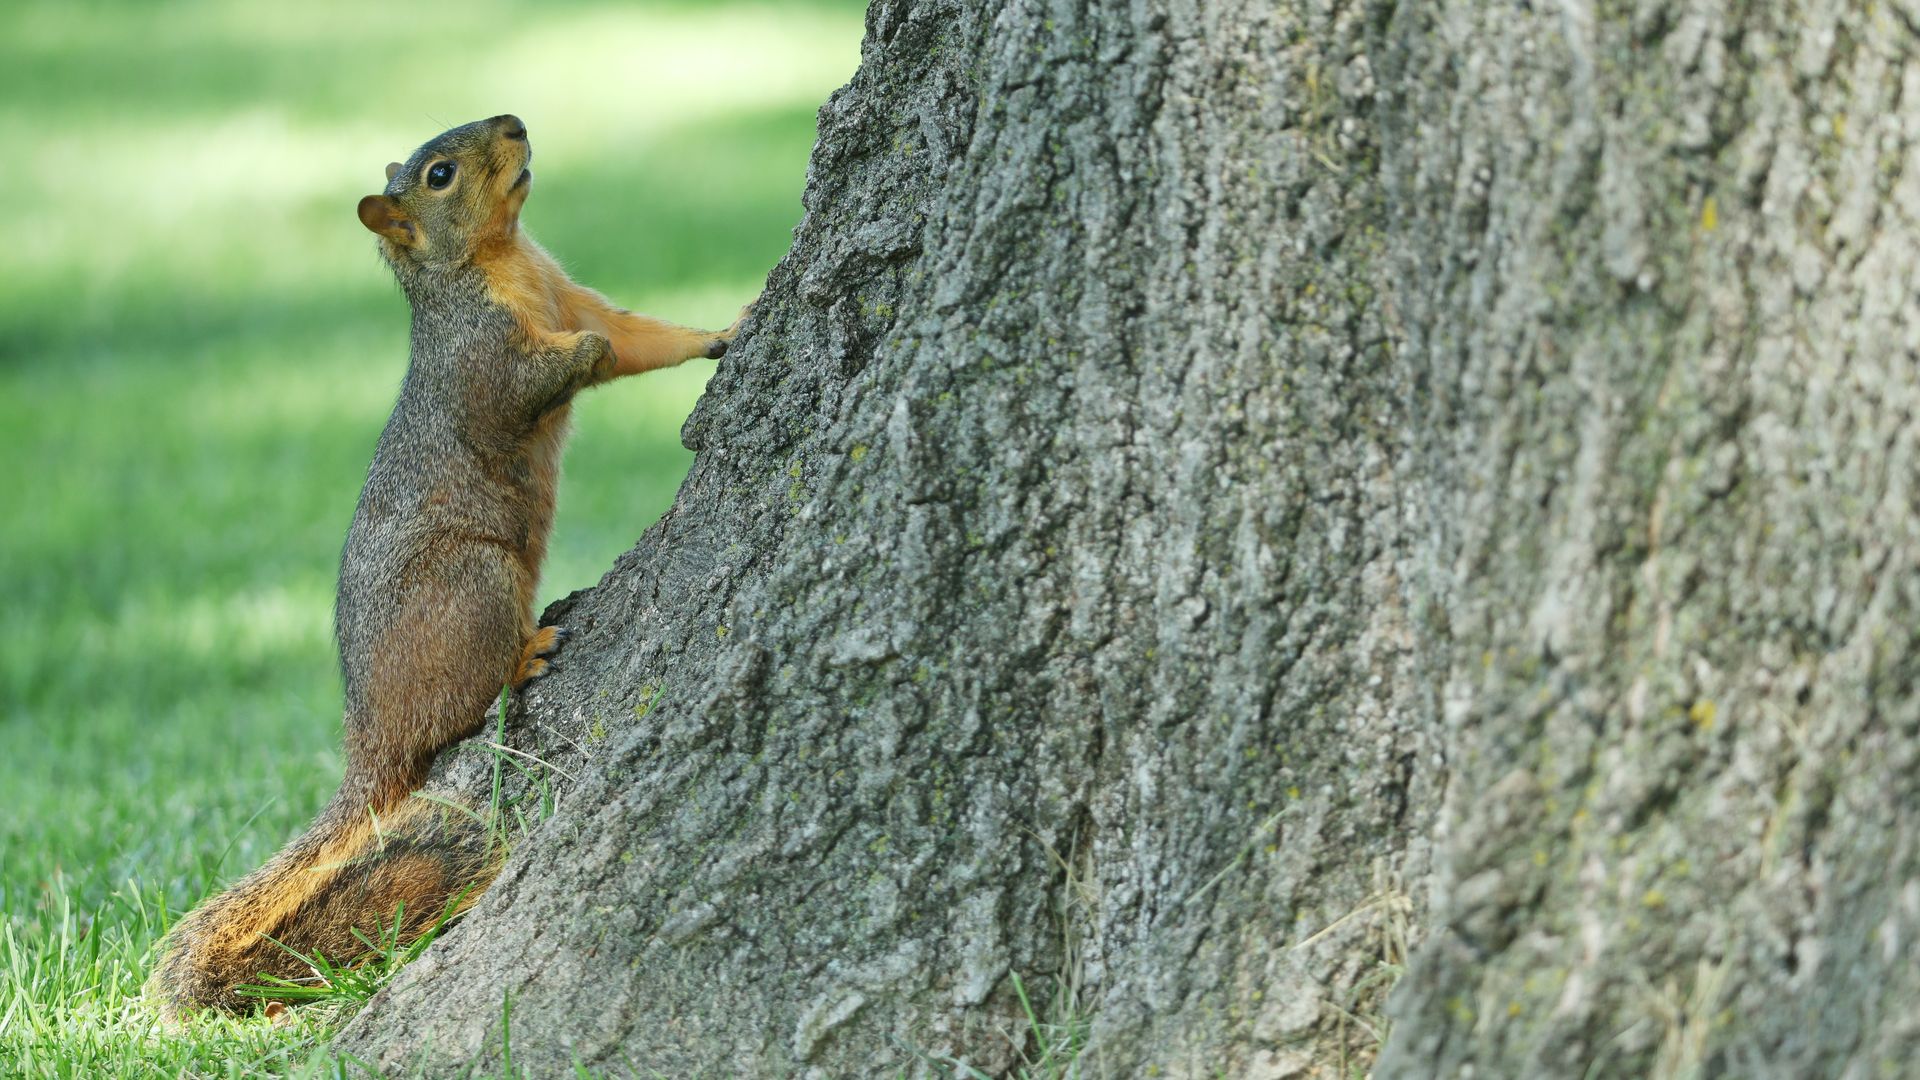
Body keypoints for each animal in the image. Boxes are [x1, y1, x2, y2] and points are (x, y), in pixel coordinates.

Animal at [145, 113, 733, 1014]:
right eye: (441, 175)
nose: (516, 122)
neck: (503, 259)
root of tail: (371, 743)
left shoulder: (570, 291)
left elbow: (643, 338)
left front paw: (725, 329)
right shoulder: (483, 357)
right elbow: (546, 376)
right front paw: (589, 352)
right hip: (474, 587)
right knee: (460, 712)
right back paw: (526, 653)